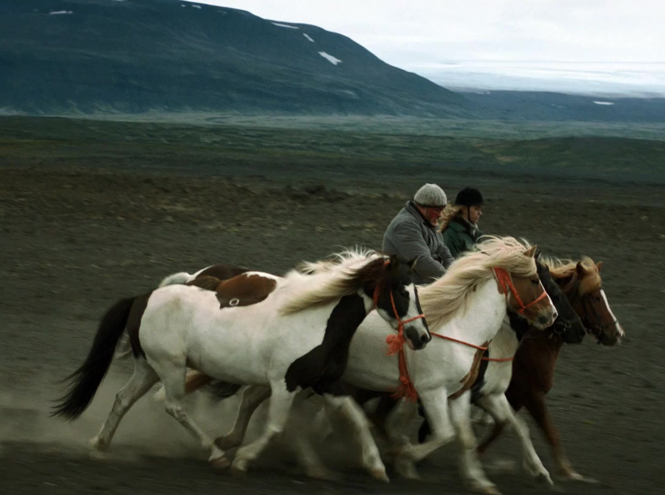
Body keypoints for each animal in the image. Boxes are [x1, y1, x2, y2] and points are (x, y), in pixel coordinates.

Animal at [49, 250, 428, 482]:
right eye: (400, 290)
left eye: (417, 289)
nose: (422, 336)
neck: (315, 321)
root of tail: (142, 299)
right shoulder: (284, 383)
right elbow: (275, 426)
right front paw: (243, 459)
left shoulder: (327, 383)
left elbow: (358, 419)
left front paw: (377, 467)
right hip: (170, 367)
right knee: (174, 406)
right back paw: (216, 455)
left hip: (149, 367)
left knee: (123, 399)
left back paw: (99, 444)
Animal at [165, 236, 556, 492]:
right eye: (536, 279)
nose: (552, 316)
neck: (460, 329)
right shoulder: (431, 392)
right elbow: (444, 434)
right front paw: (402, 456)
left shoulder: (459, 395)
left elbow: (464, 436)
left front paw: (481, 479)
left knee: (255, 402)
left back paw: (242, 444)